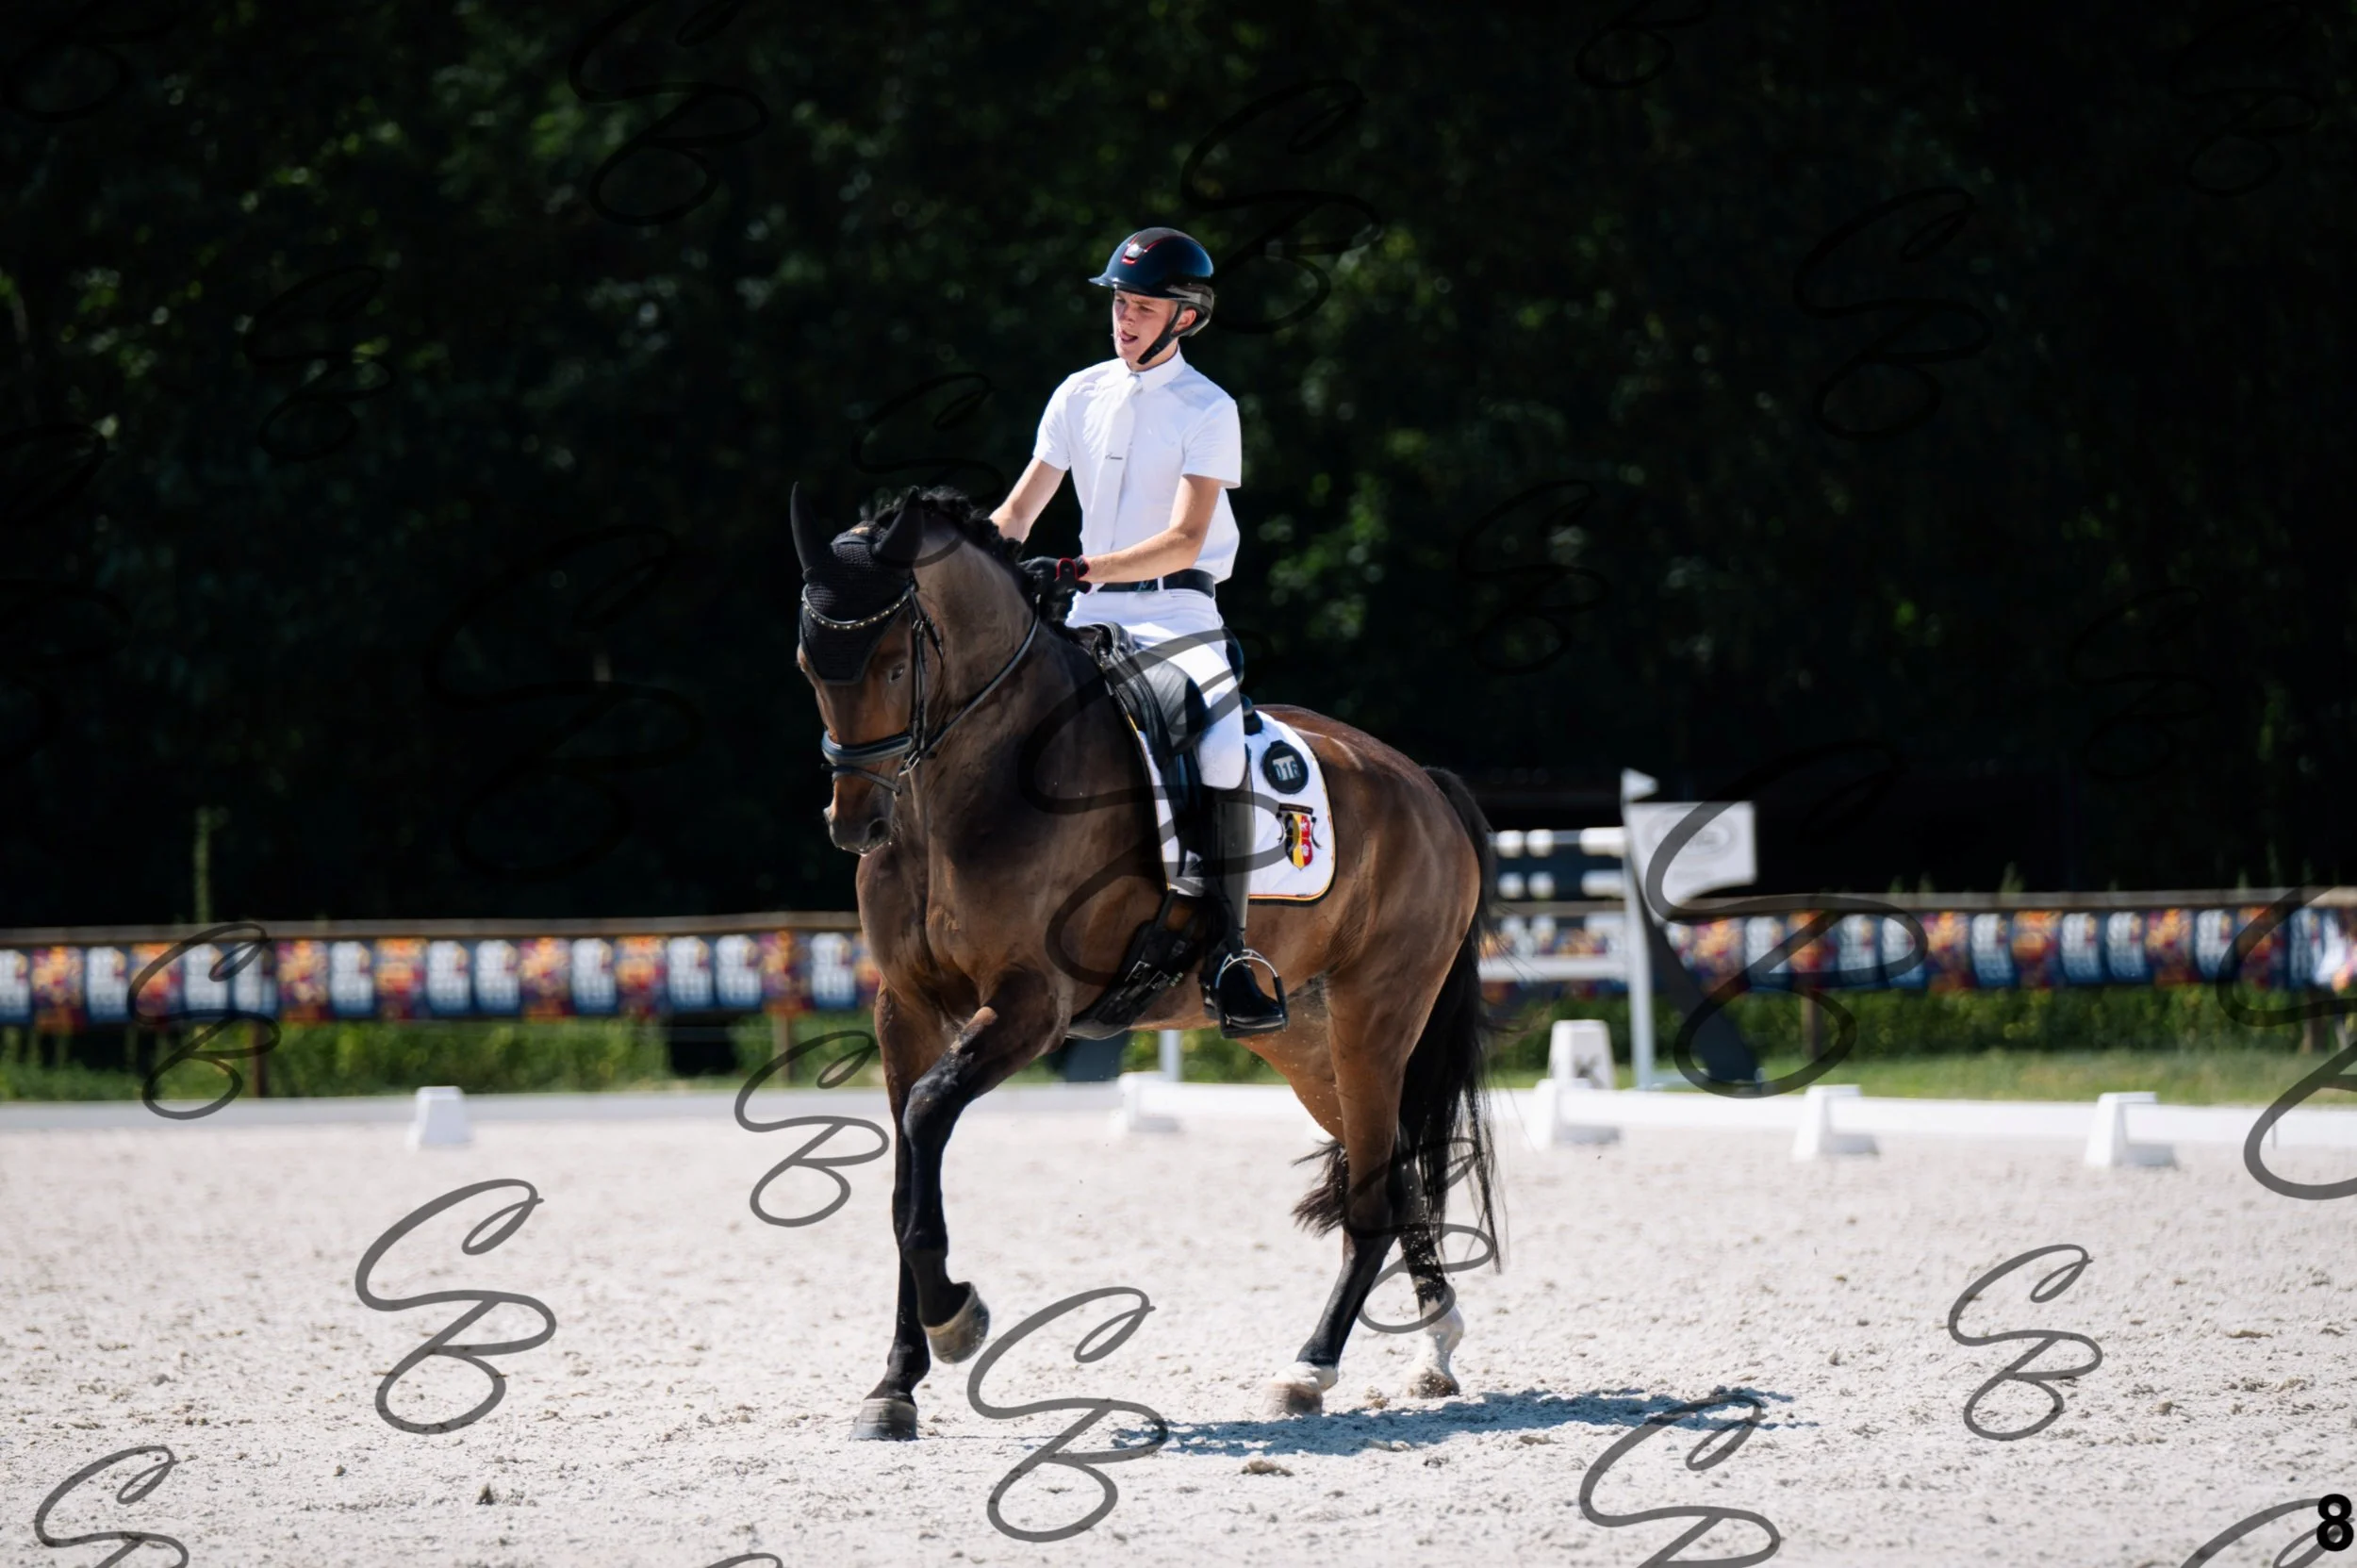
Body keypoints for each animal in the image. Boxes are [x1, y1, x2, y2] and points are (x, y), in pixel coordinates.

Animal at [788, 482, 1500, 1440]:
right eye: (809, 664)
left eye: (897, 666)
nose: (855, 823)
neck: (962, 789)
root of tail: (1425, 785)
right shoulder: (905, 1006)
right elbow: (908, 1175)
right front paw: (895, 1383)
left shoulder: (1032, 1004)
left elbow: (931, 1116)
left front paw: (957, 1319)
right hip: (1309, 1043)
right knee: (1394, 1178)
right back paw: (1435, 1348)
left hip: (1374, 1021)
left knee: (1372, 1201)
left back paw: (1308, 1370)